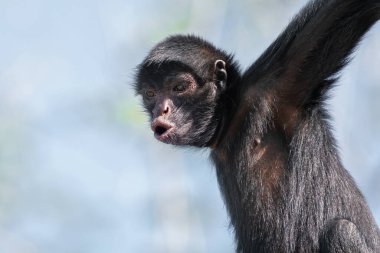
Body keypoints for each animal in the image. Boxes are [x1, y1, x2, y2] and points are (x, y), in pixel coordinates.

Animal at [134, 0, 380, 251]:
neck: (232, 120)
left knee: (342, 230)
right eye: (151, 94)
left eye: (179, 87)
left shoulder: (275, 84)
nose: (161, 109)